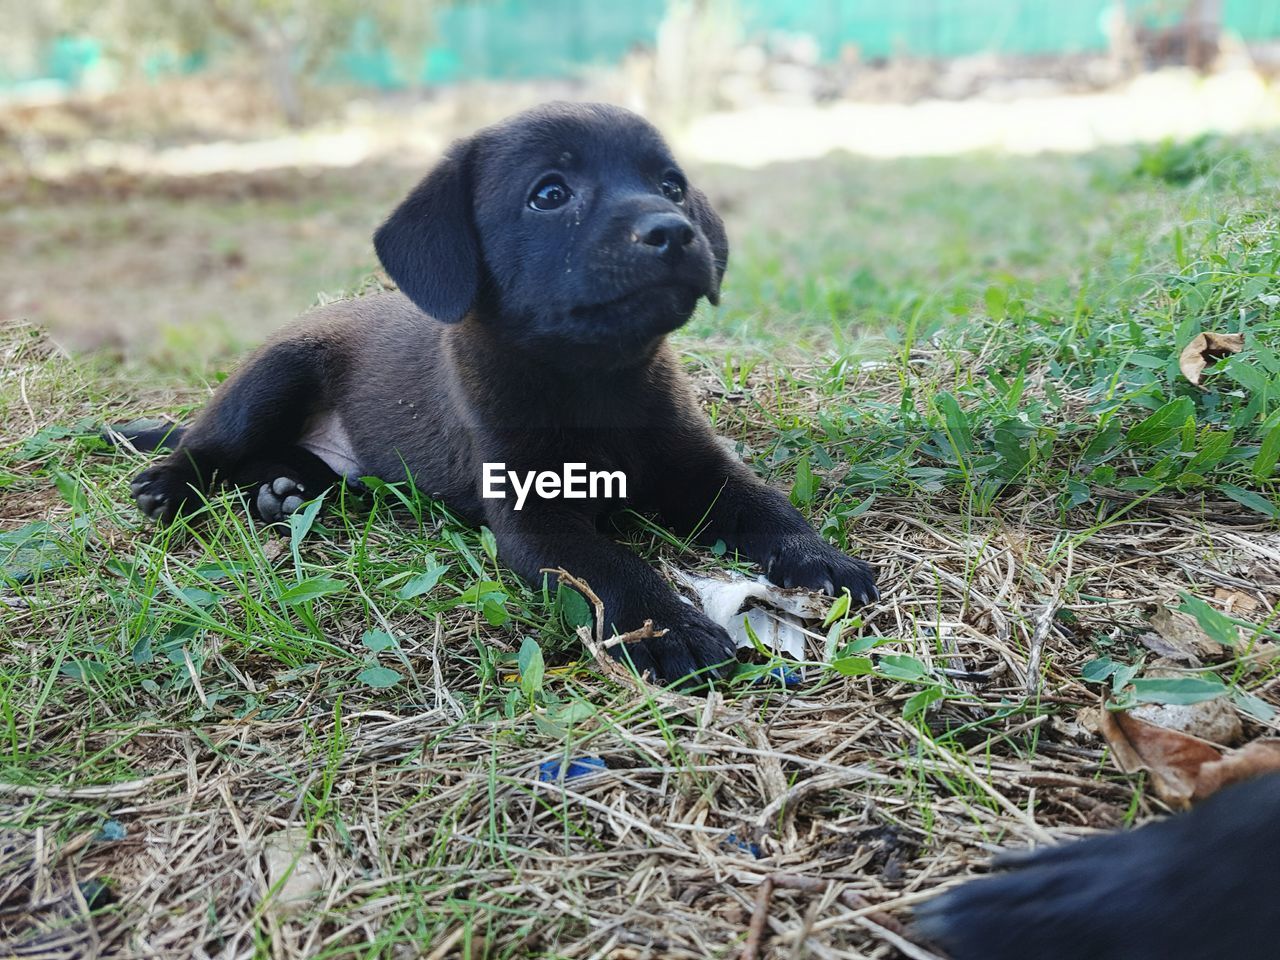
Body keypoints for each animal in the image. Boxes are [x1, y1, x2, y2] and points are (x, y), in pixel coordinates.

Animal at [124, 103, 875, 686]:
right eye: (549, 194)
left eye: (671, 184)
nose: (673, 230)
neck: (595, 384)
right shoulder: (537, 522)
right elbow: (613, 567)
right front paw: (668, 628)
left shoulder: (699, 467)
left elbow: (767, 507)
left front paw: (819, 557)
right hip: (276, 373)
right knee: (210, 444)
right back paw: (172, 484)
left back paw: (288, 491)